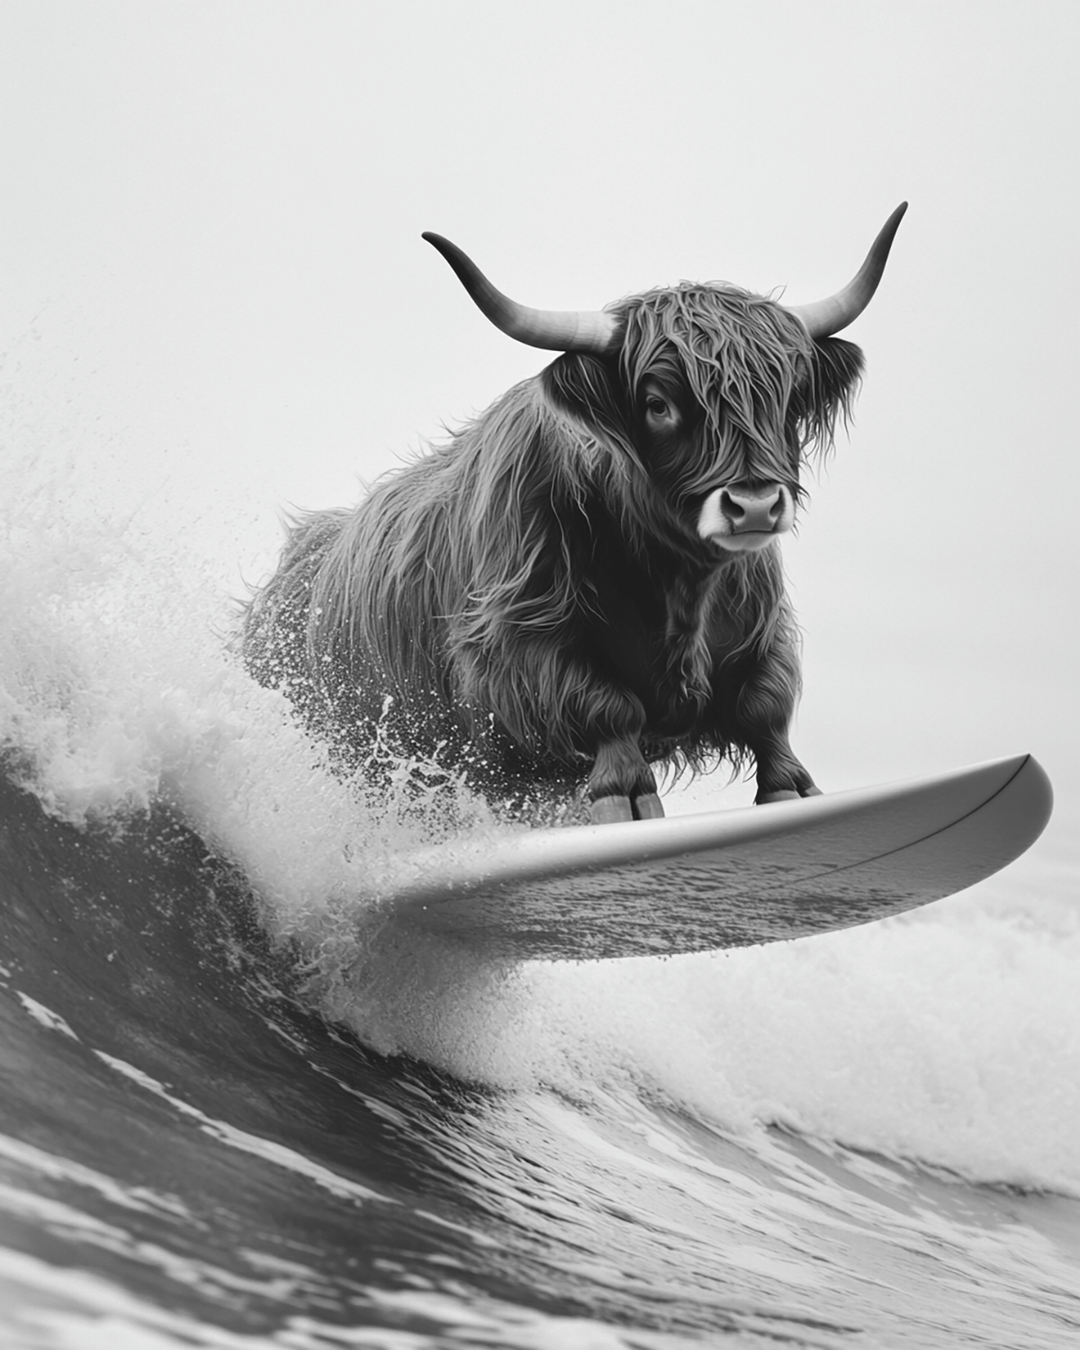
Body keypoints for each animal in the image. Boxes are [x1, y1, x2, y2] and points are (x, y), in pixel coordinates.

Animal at [243, 205, 907, 824]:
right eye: (657, 404)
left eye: (787, 399)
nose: (754, 505)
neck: (677, 586)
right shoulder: (510, 646)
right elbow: (603, 703)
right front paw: (627, 795)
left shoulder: (762, 628)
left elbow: (764, 703)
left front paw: (792, 788)